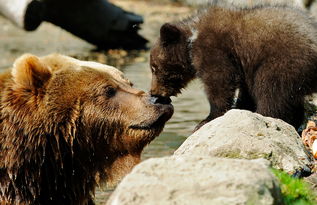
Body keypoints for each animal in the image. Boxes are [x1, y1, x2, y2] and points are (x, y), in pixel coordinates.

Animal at [149, 4, 316, 131]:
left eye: (154, 68)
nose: (153, 92)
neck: (191, 41)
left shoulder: (215, 49)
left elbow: (219, 82)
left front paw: (206, 119)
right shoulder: (244, 65)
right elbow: (245, 91)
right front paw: (240, 107)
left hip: (283, 61)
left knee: (271, 91)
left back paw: (266, 115)